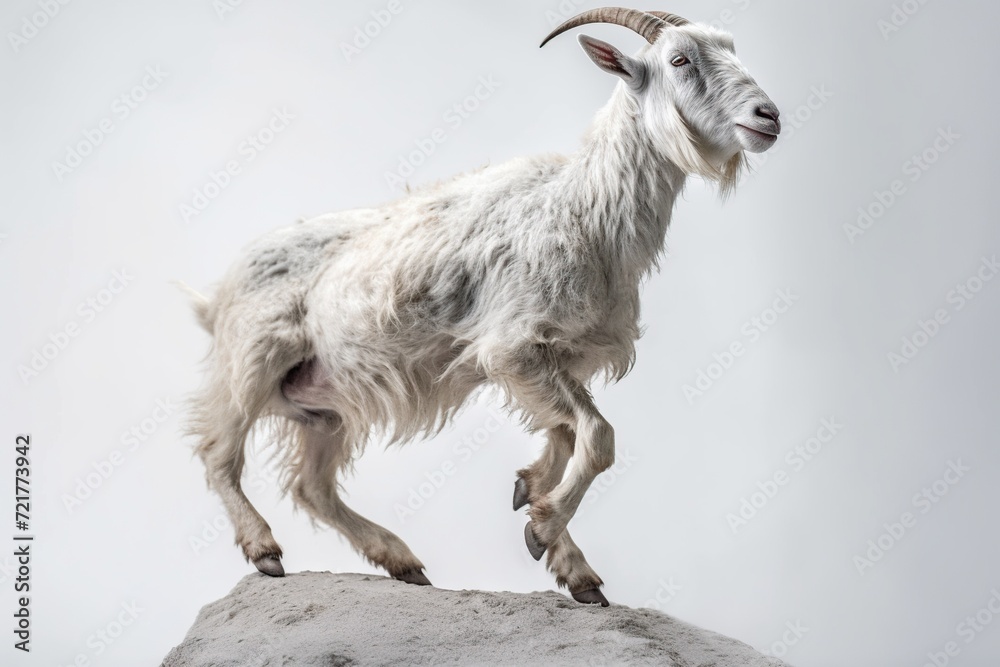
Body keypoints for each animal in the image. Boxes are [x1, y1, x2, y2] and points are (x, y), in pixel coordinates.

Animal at [187, 7, 780, 607]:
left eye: (731, 50)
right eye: (679, 60)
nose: (769, 116)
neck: (583, 210)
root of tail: (218, 296)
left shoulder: (559, 357)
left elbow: (568, 435)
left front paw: (543, 514)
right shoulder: (511, 347)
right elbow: (598, 438)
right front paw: (543, 530)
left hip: (324, 406)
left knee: (312, 486)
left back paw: (401, 561)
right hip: (252, 362)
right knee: (219, 457)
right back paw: (266, 550)